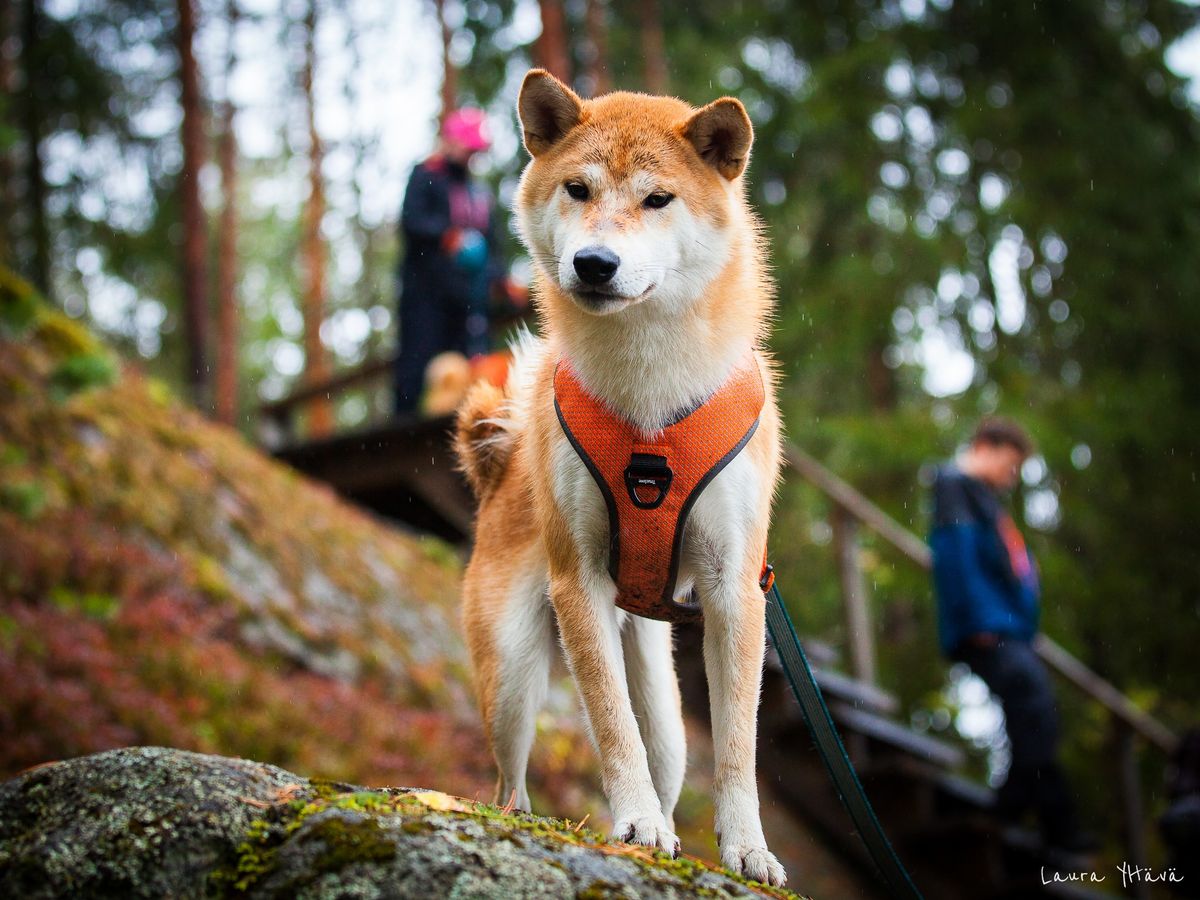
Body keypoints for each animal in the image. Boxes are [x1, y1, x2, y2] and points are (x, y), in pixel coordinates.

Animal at [451, 70, 787, 888]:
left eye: (657, 199)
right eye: (578, 188)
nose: (594, 263)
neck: (649, 408)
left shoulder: (736, 587)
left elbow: (737, 745)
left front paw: (746, 847)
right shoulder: (578, 583)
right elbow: (609, 723)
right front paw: (634, 823)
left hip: (663, 701)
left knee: (664, 745)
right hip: (513, 675)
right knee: (508, 780)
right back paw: (529, 818)